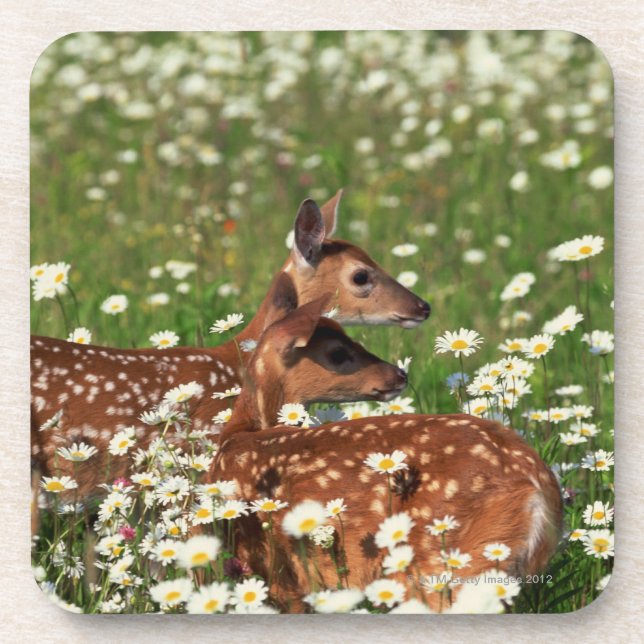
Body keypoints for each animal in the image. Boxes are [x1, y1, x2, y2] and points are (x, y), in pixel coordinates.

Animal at [208, 304, 563, 611]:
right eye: (338, 352)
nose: (399, 374)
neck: (238, 434)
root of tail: (539, 486)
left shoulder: (280, 578)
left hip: (446, 562)